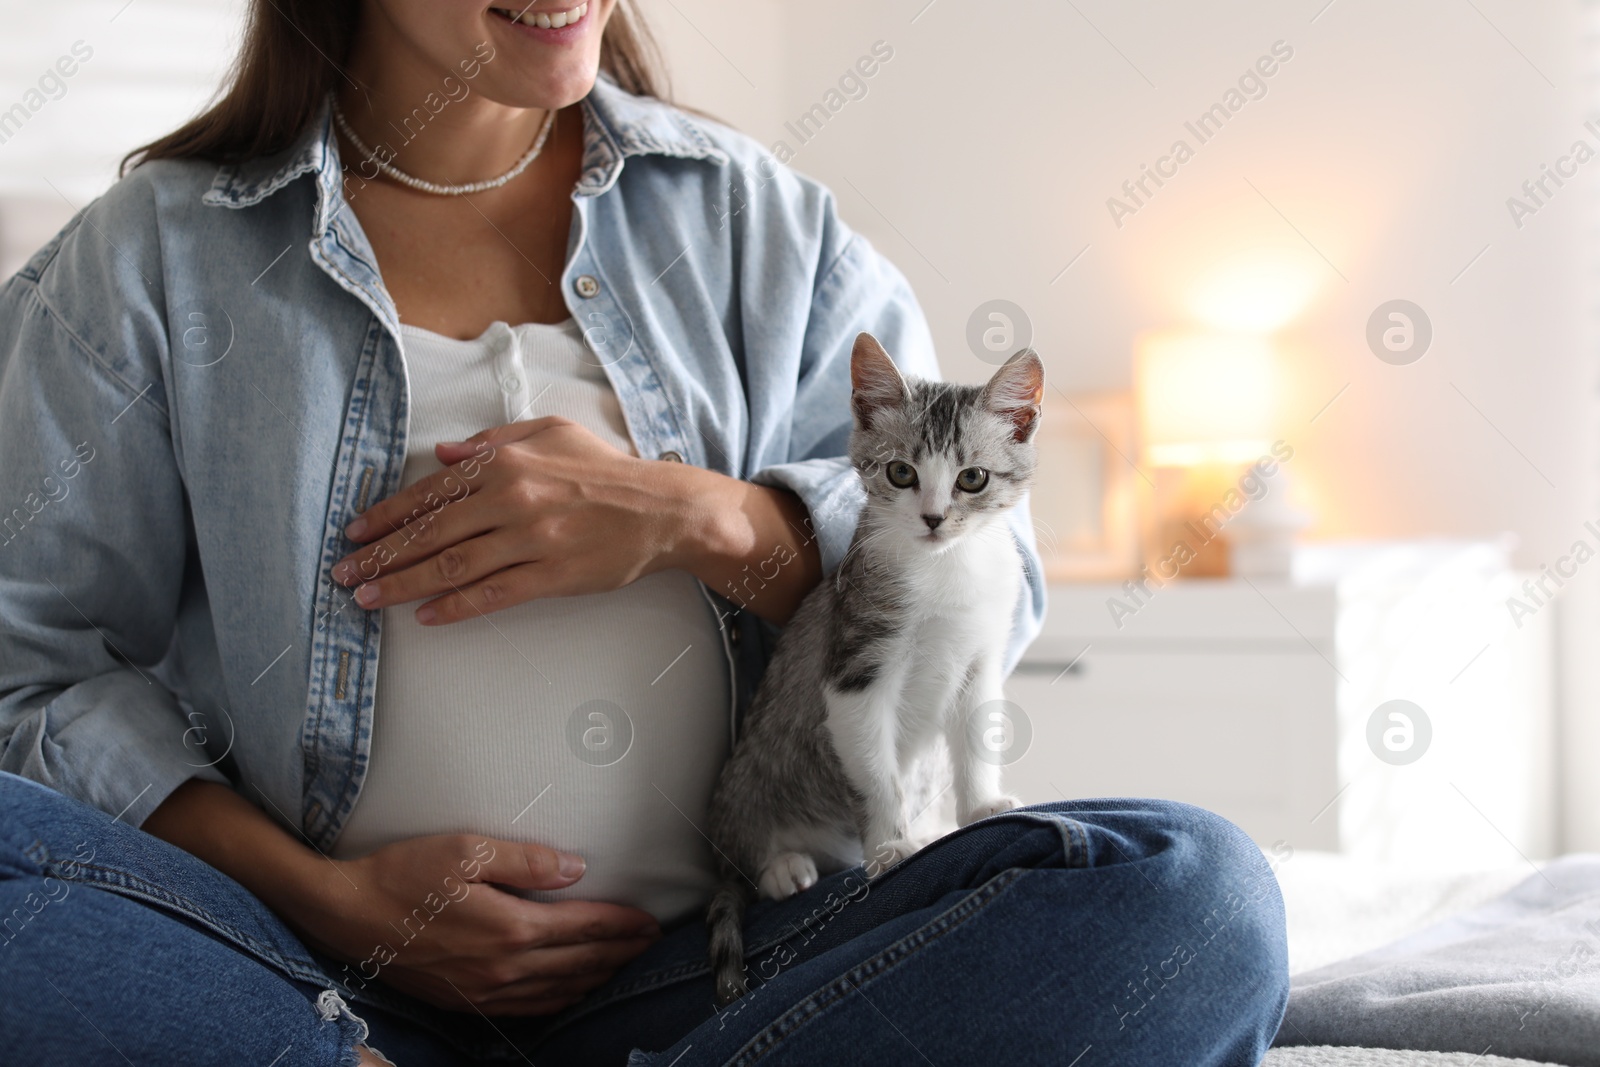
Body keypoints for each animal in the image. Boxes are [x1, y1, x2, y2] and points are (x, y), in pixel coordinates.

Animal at [707, 331, 1043, 1004]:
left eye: (972, 478)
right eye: (901, 472)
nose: (934, 518)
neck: (946, 567)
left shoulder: (981, 659)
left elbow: (975, 740)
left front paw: (979, 808)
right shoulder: (856, 662)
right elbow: (876, 769)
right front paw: (891, 846)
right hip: (744, 783)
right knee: (745, 854)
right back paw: (780, 865)